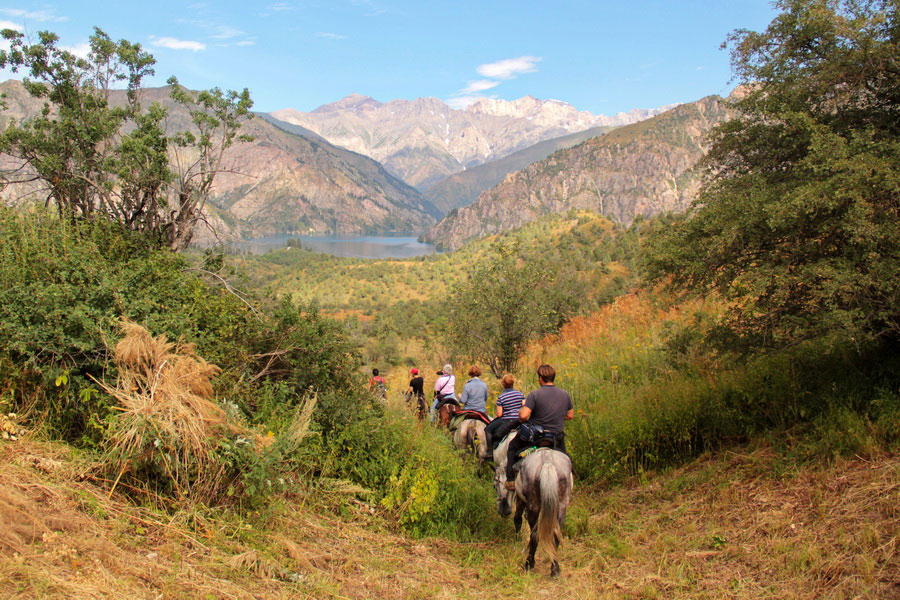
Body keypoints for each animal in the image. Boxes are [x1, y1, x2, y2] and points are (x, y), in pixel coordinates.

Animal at [496, 432, 572, 576]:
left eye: (495, 484)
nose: (503, 511)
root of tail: (547, 461)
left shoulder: (521, 500)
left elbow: (518, 519)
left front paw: (517, 543)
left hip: (534, 505)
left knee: (535, 534)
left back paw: (528, 564)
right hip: (561, 506)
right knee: (556, 533)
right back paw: (555, 568)